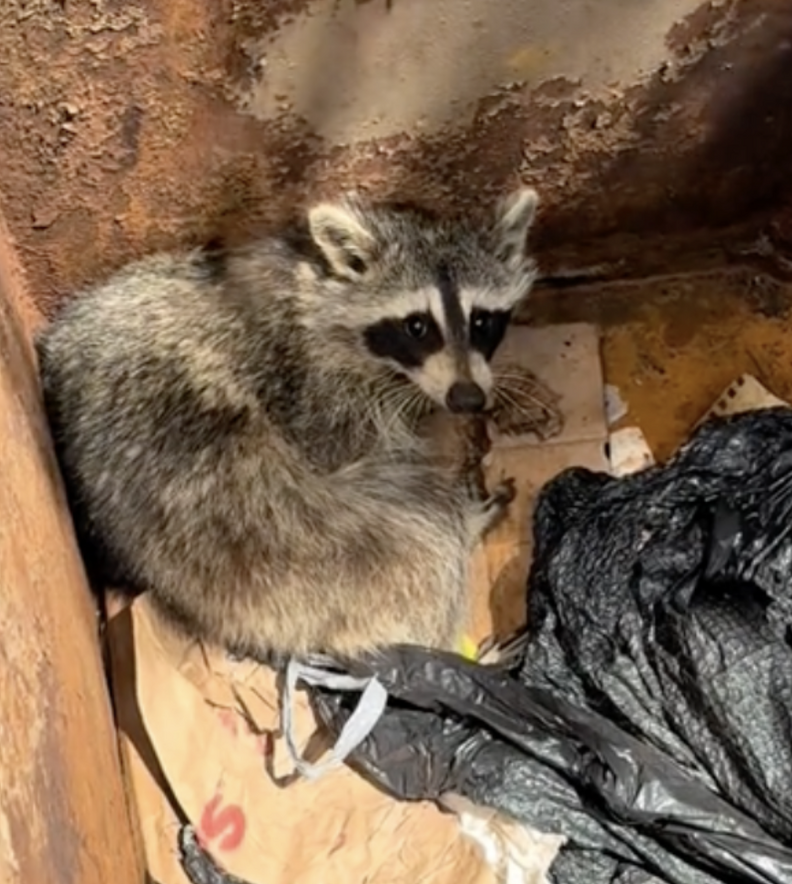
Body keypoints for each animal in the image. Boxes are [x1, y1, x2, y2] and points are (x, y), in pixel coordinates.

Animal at [36, 187, 539, 661]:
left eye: (481, 321)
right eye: (417, 326)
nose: (467, 398)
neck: (317, 280)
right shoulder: (314, 386)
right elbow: (354, 449)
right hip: (265, 525)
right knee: (424, 534)